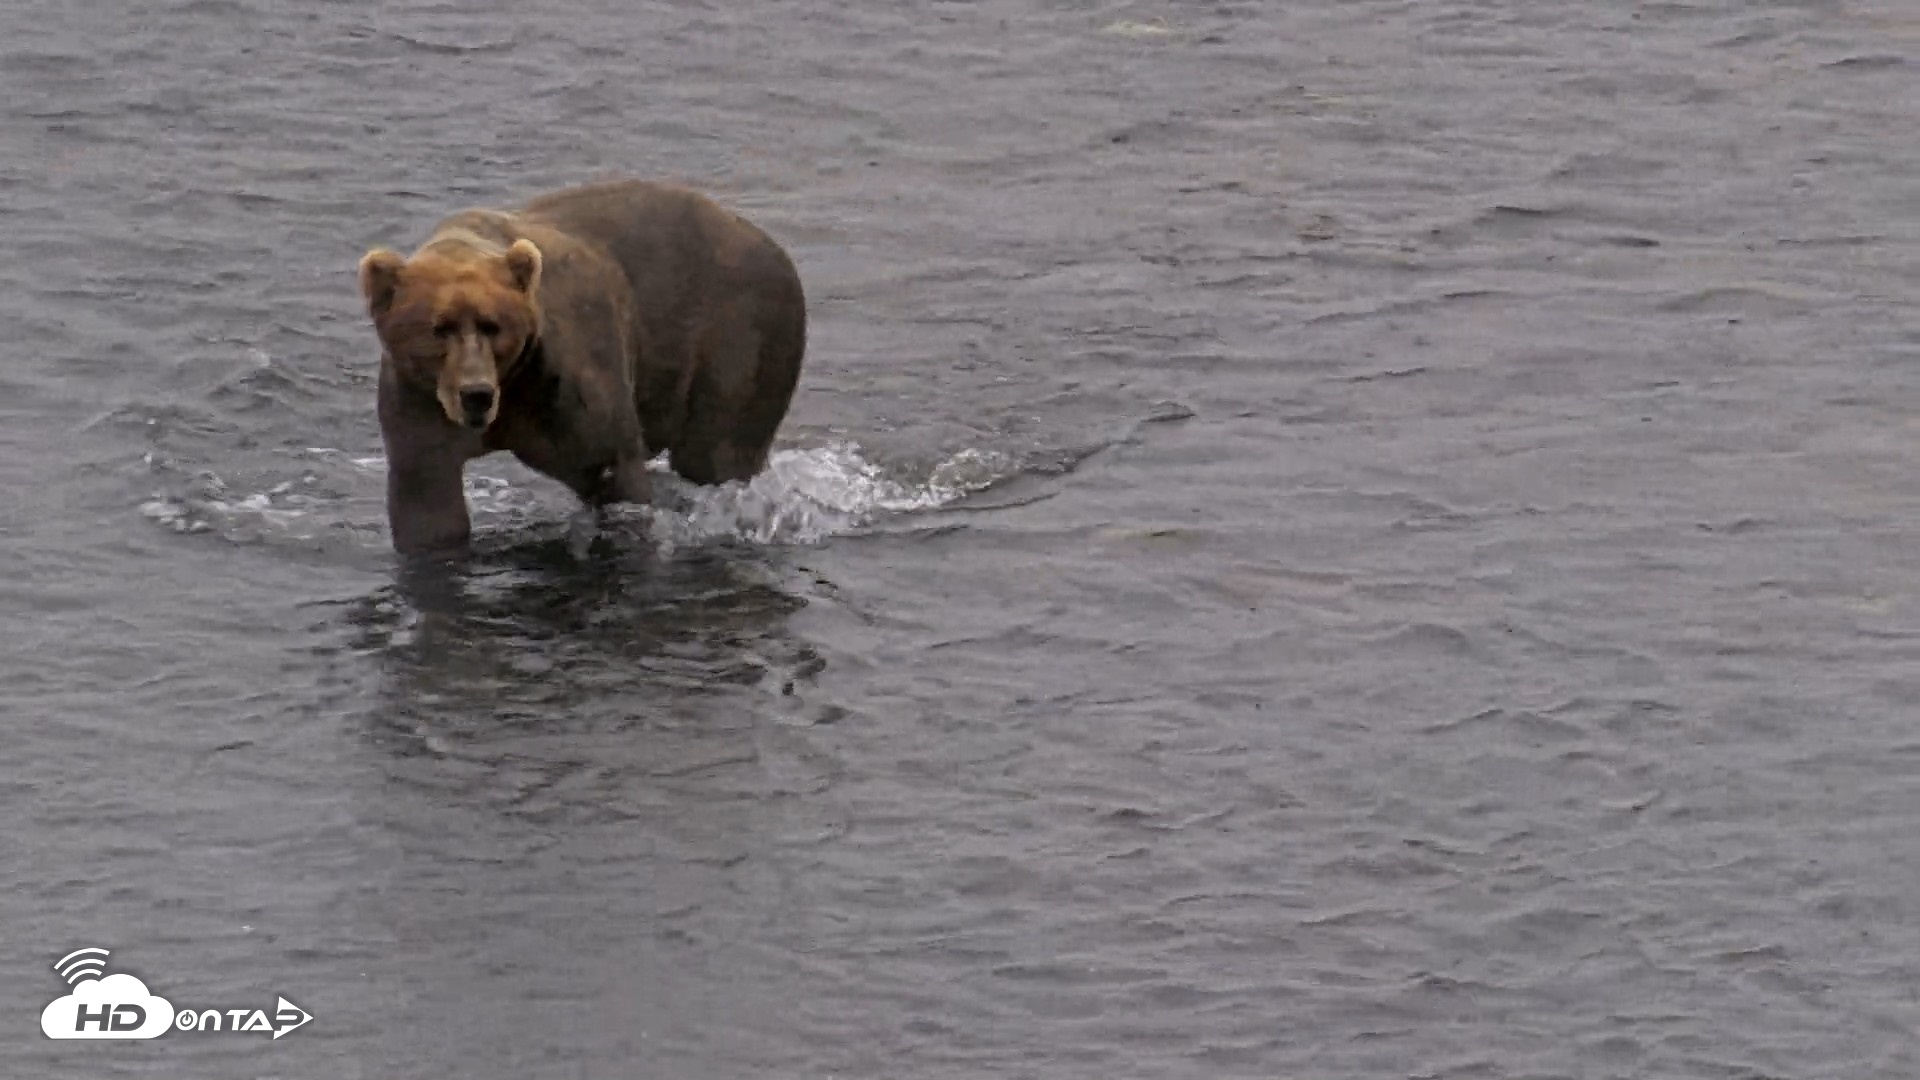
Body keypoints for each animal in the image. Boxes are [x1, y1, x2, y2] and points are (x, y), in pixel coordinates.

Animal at [357, 179, 806, 555]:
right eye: (439, 329)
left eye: (493, 325)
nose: (477, 395)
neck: (513, 385)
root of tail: (769, 242)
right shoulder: (419, 403)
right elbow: (428, 502)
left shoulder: (569, 377)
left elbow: (612, 466)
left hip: (740, 329)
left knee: (715, 451)